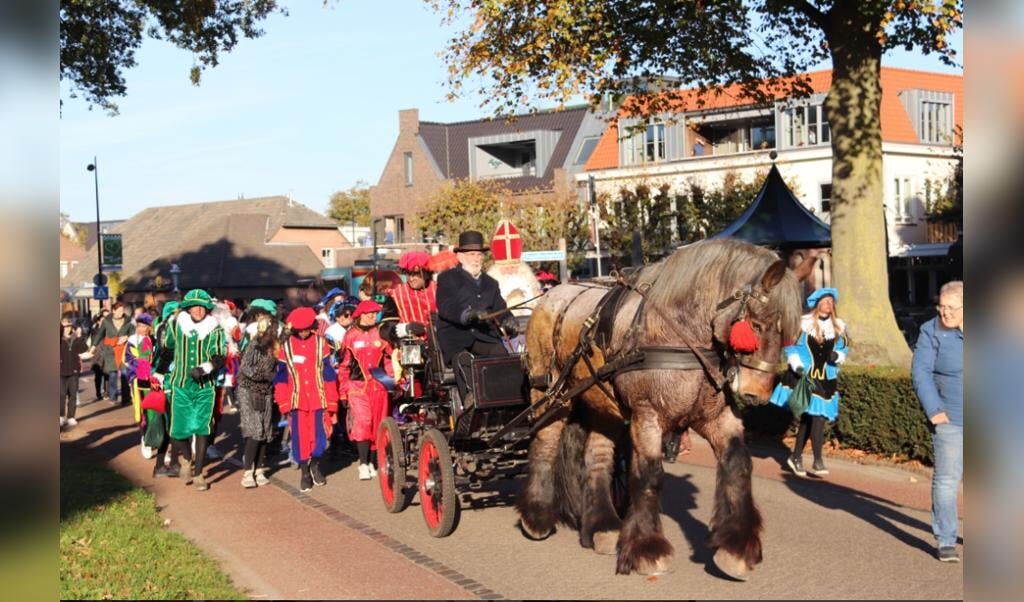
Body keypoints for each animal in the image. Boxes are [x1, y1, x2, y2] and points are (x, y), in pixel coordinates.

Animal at [516, 238, 811, 577]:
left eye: (792, 334)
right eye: (757, 325)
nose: (756, 395)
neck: (676, 333)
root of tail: (550, 296)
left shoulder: (715, 418)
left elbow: (738, 464)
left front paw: (735, 546)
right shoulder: (648, 416)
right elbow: (649, 476)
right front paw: (647, 549)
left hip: (603, 406)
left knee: (597, 459)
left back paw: (603, 526)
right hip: (551, 396)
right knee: (545, 444)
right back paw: (537, 517)